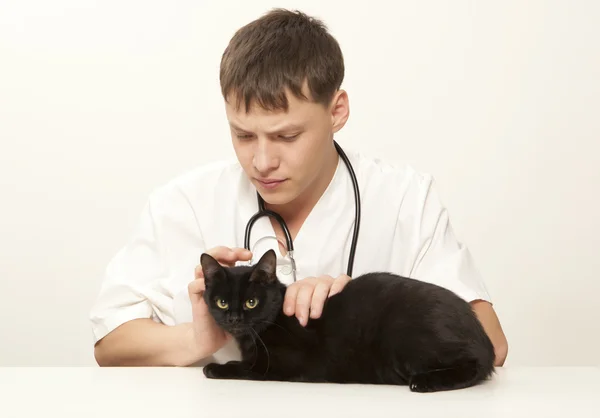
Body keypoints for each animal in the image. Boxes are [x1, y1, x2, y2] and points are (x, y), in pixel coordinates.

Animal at [199, 248, 494, 392]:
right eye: (222, 302)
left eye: (251, 302)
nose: (234, 318)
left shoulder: (282, 364)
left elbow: (246, 367)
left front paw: (217, 368)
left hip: (406, 337)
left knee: (475, 365)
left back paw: (424, 382)